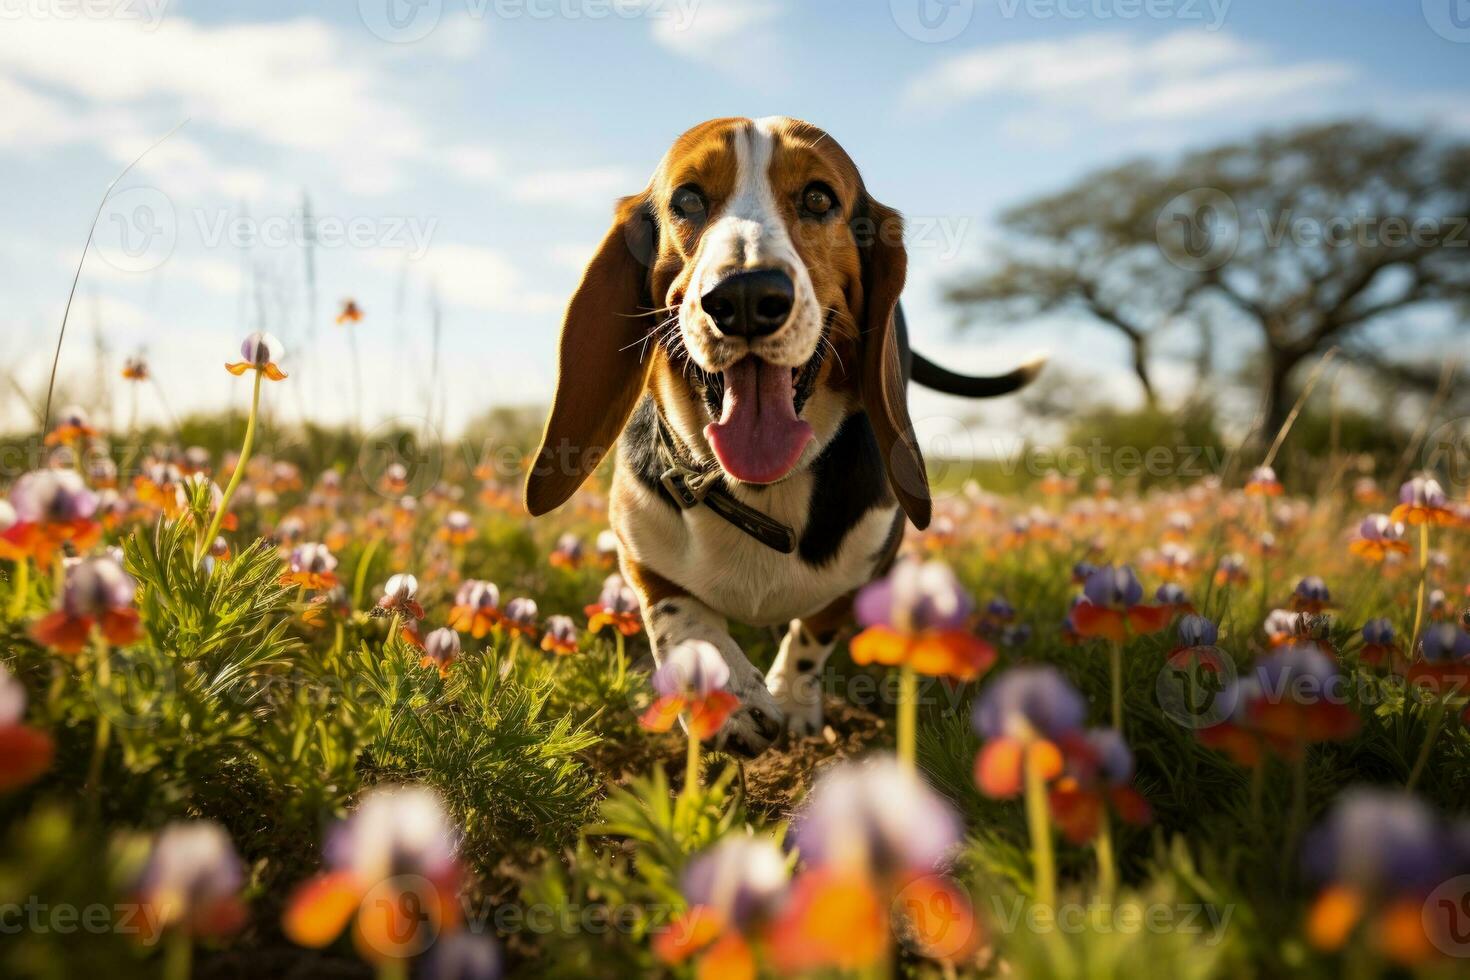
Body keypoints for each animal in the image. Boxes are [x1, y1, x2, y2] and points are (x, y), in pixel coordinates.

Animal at [523, 116, 1040, 758]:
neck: (757, 492)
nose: (745, 296)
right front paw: (731, 696)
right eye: (686, 200)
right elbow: (679, 615)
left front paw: (791, 701)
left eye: (818, 198)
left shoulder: (866, 566)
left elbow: (814, 630)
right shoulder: (638, 546)